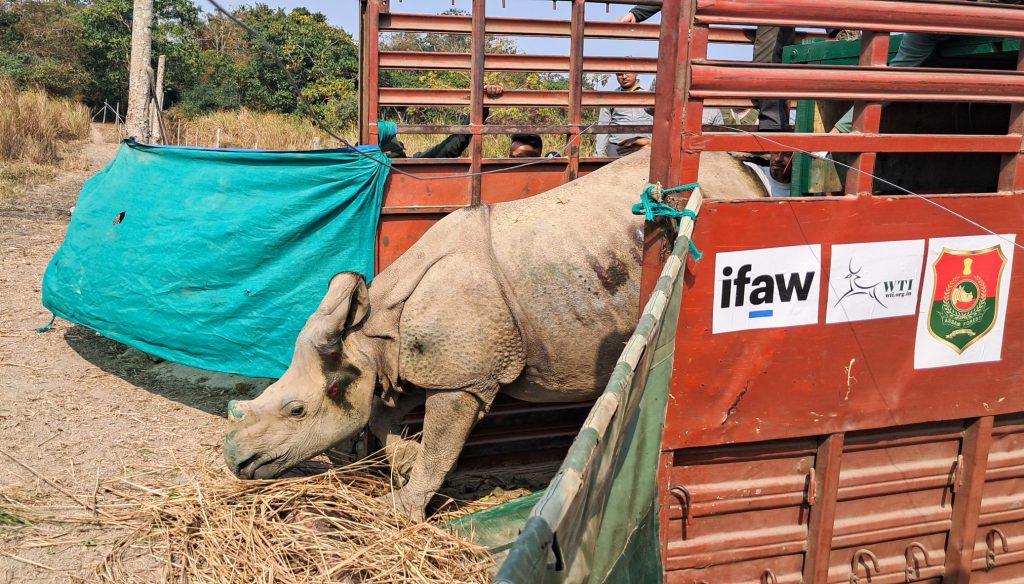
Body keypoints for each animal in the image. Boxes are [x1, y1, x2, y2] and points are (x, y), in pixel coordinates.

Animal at [223, 148, 765, 520]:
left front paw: (403, 509)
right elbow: (383, 418)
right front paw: (406, 465)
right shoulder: (417, 363)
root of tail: (746, 175)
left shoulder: (462, 378)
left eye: (296, 410)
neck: (370, 334)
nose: (235, 461)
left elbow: (441, 444)